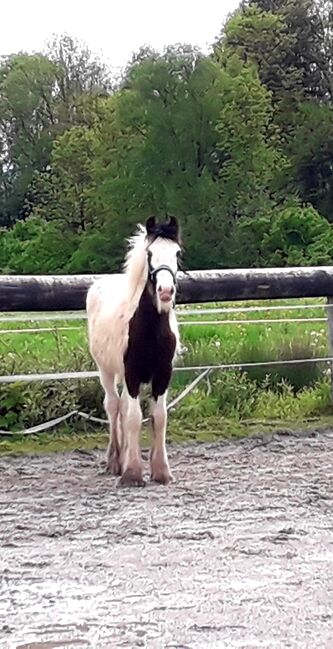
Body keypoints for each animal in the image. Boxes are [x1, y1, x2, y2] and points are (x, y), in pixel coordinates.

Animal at [85, 216, 182, 486]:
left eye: (177, 253)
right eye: (149, 253)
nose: (165, 292)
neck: (150, 330)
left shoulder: (162, 374)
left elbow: (159, 417)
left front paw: (161, 471)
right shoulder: (132, 373)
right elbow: (133, 418)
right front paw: (132, 473)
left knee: (124, 406)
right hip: (106, 371)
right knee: (113, 406)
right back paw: (116, 462)